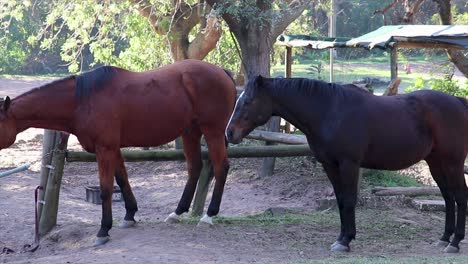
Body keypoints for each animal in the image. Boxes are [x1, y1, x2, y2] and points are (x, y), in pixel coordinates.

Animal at [0, 59, 236, 245]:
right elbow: (122, 180)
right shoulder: (113, 149)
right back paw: (177, 213)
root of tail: (222, 72)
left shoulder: (105, 149)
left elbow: (106, 189)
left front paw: (103, 230)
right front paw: (129, 215)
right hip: (190, 133)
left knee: (220, 167)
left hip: (213, 132)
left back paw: (209, 215)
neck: (82, 100)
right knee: (195, 167)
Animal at [225, 75, 466, 253]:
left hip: (453, 163)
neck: (329, 111)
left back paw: (455, 243)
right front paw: (342, 237)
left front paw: (345, 242)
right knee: (448, 197)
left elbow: (349, 200)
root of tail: (458, 102)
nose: (229, 133)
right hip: (436, 163)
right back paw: (444, 238)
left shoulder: (349, 164)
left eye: (248, 101)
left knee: (460, 197)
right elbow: (340, 200)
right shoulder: (330, 165)